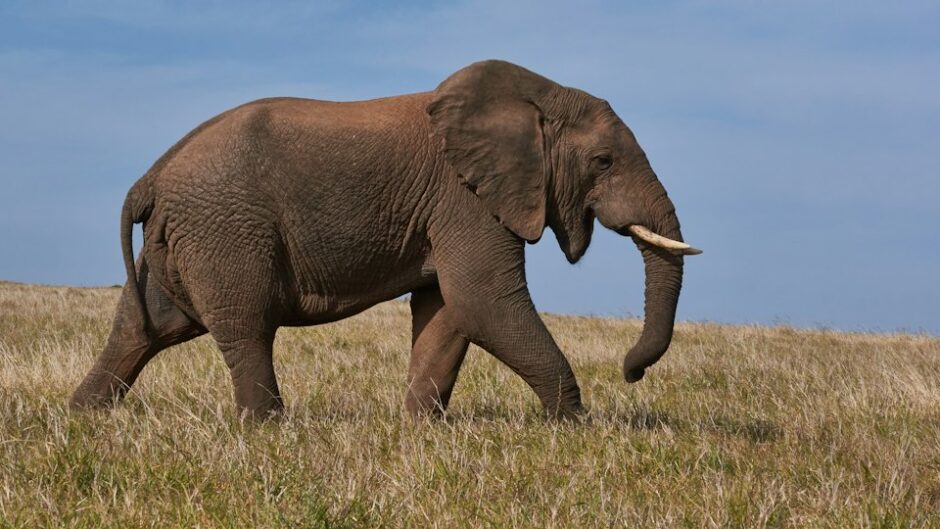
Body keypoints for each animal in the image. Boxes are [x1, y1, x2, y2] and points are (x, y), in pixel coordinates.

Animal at [70, 60, 701, 420]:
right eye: (603, 161)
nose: (631, 372)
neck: (535, 96)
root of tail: (152, 176)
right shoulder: (465, 199)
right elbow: (484, 302)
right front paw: (571, 427)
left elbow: (448, 311)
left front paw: (419, 430)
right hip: (224, 229)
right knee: (245, 327)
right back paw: (267, 431)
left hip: (183, 240)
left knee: (144, 327)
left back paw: (83, 418)